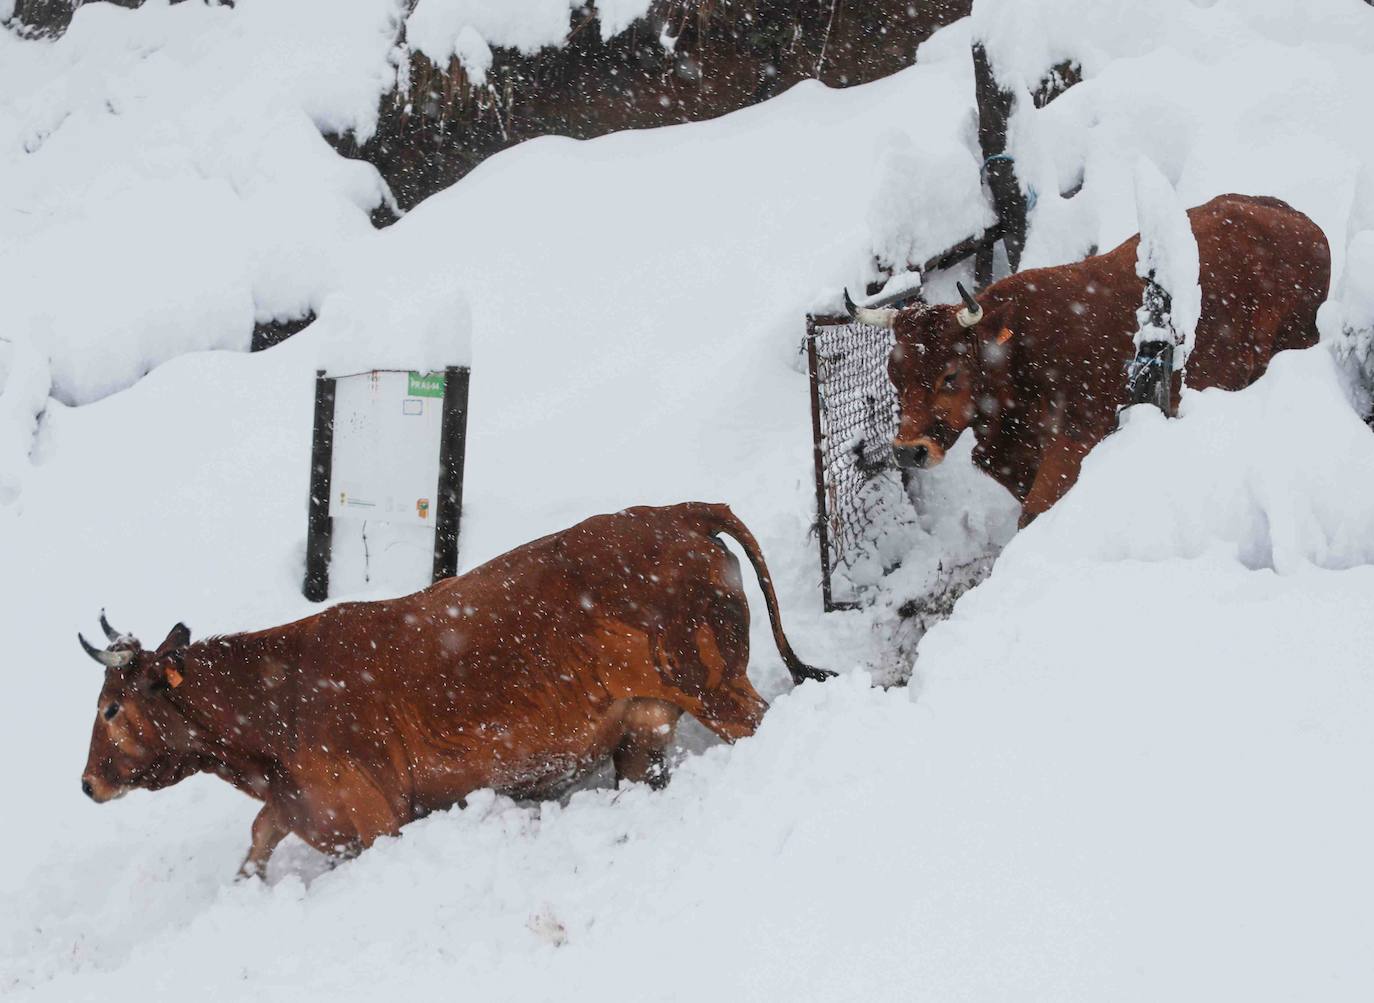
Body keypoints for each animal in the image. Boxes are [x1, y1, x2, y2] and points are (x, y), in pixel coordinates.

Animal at [80, 500, 824, 873]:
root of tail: (678, 510)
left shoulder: (375, 816)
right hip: (647, 724)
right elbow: (260, 835)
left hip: (713, 685)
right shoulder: (302, 809)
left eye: (111, 706)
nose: (87, 783)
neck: (273, 710)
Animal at [846, 193, 1330, 524]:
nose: (910, 451)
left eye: (950, 375)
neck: (1018, 357)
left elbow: (1033, 515)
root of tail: (1298, 221)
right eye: (894, 375)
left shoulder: (1075, 443)